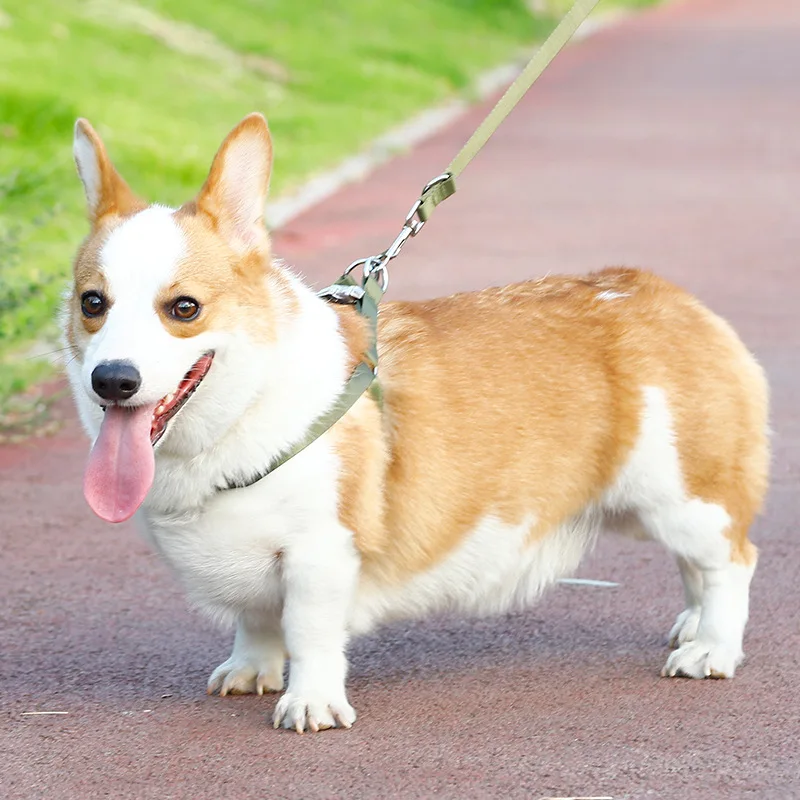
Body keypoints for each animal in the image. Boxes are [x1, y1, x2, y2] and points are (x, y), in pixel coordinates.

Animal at [64, 113, 769, 733]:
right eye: (92, 303)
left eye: (184, 309)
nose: (113, 380)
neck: (241, 413)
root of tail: (672, 298)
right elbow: (255, 621)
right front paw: (250, 670)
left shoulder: (320, 554)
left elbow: (307, 633)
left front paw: (310, 704)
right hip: (651, 505)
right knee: (698, 564)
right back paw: (693, 624)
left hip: (681, 495)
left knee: (732, 560)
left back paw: (711, 648)